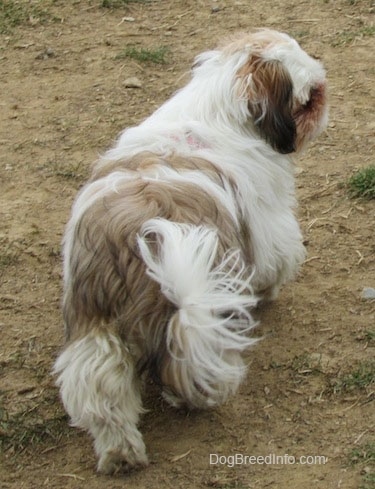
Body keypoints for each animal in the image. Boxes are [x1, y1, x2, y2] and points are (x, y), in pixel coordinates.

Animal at [53, 29, 328, 472]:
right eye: (311, 98)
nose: (323, 105)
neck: (216, 109)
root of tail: (135, 241)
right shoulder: (270, 223)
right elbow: (276, 257)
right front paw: (270, 291)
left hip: (95, 324)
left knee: (102, 390)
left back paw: (120, 452)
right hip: (202, 308)